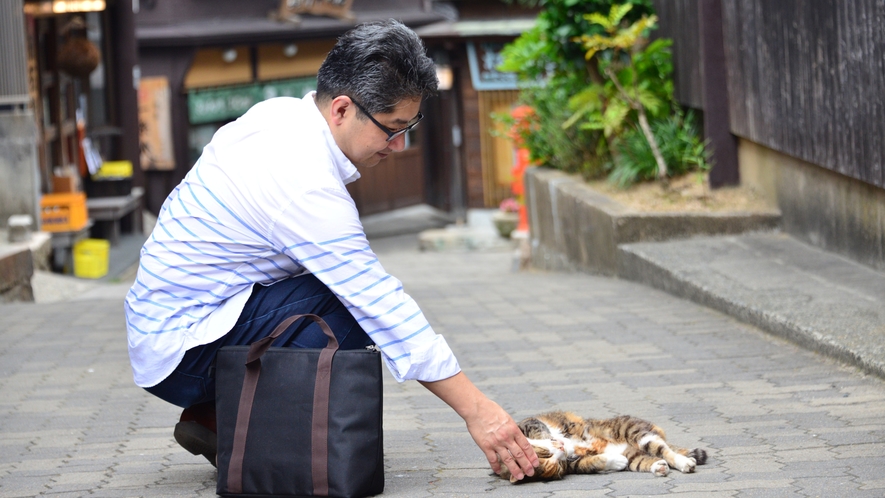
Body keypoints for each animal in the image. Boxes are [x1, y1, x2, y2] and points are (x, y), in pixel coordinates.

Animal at [500, 412, 708, 482]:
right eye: (554, 463)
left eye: (544, 452)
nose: (562, 448)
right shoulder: (572, 464)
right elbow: (589, 463)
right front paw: (615, 463)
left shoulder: (527, 423)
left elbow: (540, 431)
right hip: (631, 452)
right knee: (644, 459)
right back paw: (659, 466)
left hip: (636, 433)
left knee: (665, 449)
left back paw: (685, 462)